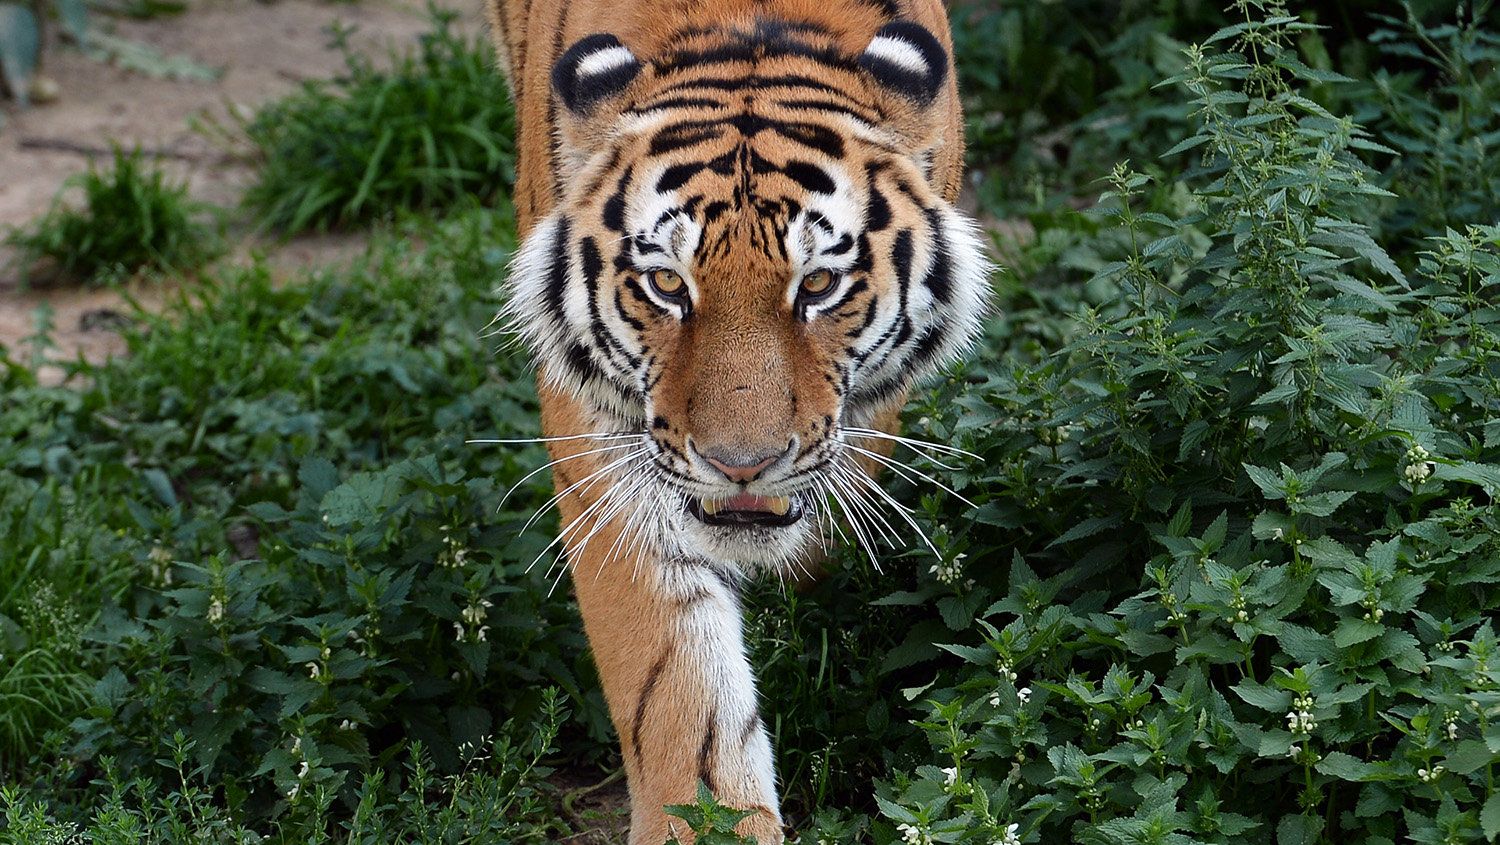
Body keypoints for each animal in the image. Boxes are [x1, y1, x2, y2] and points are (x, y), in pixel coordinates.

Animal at [484, 0, 991, 841]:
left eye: (817, 285)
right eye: (665, 283)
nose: (740, 465)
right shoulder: (605, 442)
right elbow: (678, 682)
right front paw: (707, 819)